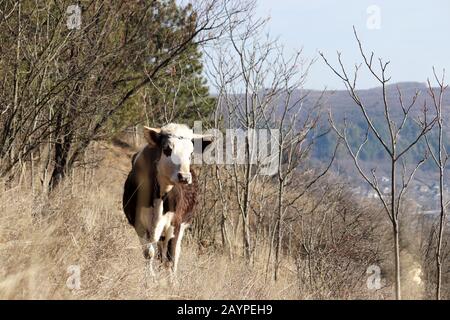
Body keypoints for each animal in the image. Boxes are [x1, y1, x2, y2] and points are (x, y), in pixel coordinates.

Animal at [121, 122, 213, 276]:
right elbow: (149, 253)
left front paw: (170, 281)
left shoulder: (175, 224)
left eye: (191, 153)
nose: (184, 177)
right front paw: (150, 277)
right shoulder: (139, 223)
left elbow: (170, 258)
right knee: (159, 253)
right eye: (167, 149)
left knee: (174, 254)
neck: (159, 196)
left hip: (181, 226)